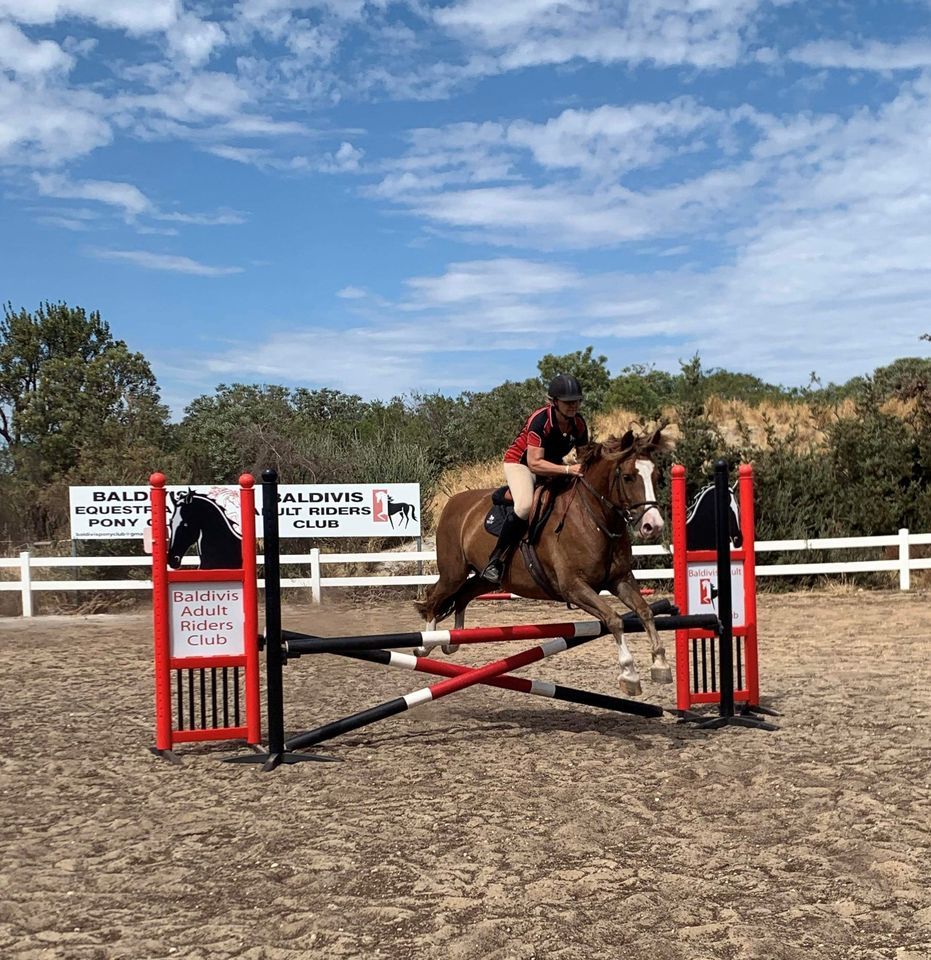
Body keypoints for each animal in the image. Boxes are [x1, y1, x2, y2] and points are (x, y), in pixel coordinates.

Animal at [415, 428, 672, 696]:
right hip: (454, 572)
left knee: (463, 595)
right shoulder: (574, 588)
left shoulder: (620, 580)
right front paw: (629, 674)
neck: (594, 518)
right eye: (629, 477)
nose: (653, 525)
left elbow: (645, 611)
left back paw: (452, 640)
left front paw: (661, 664)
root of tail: (454, 503)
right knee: (435, 597)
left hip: (488, 579)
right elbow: (614, 619)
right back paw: (426, 645)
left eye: (657, 475)